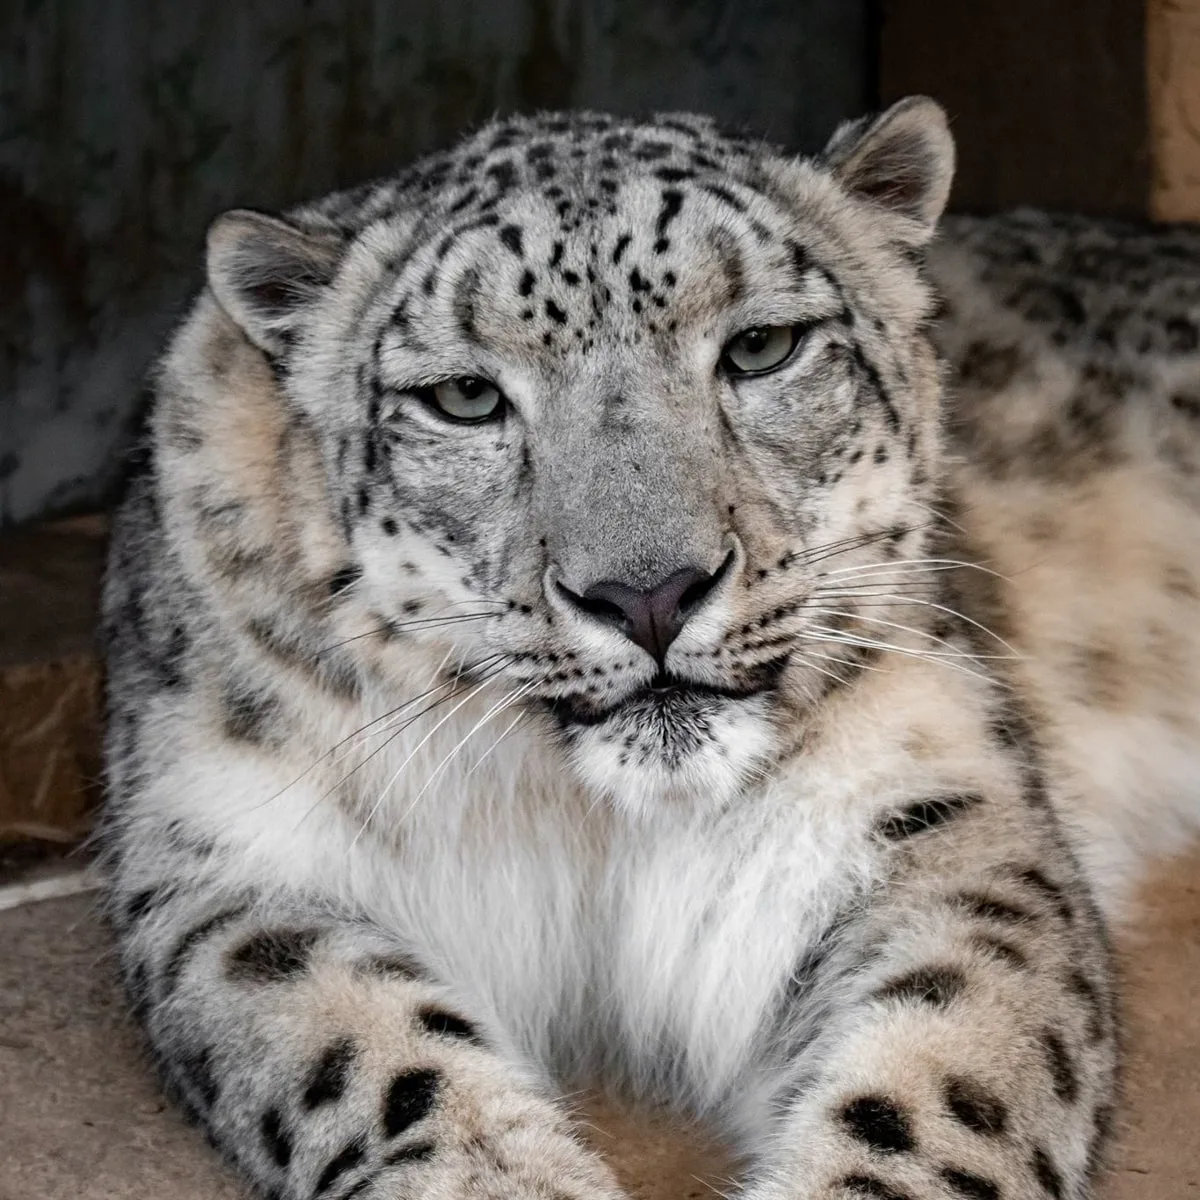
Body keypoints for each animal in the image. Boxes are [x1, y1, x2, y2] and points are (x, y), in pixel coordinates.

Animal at [98, 100, 1200, 1200]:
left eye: (761, 346)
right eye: (464, 397)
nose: (649, 594)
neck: (592, 826)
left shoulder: (926, 801)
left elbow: (937, 1073)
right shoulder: (233, 855)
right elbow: (373, 1055)